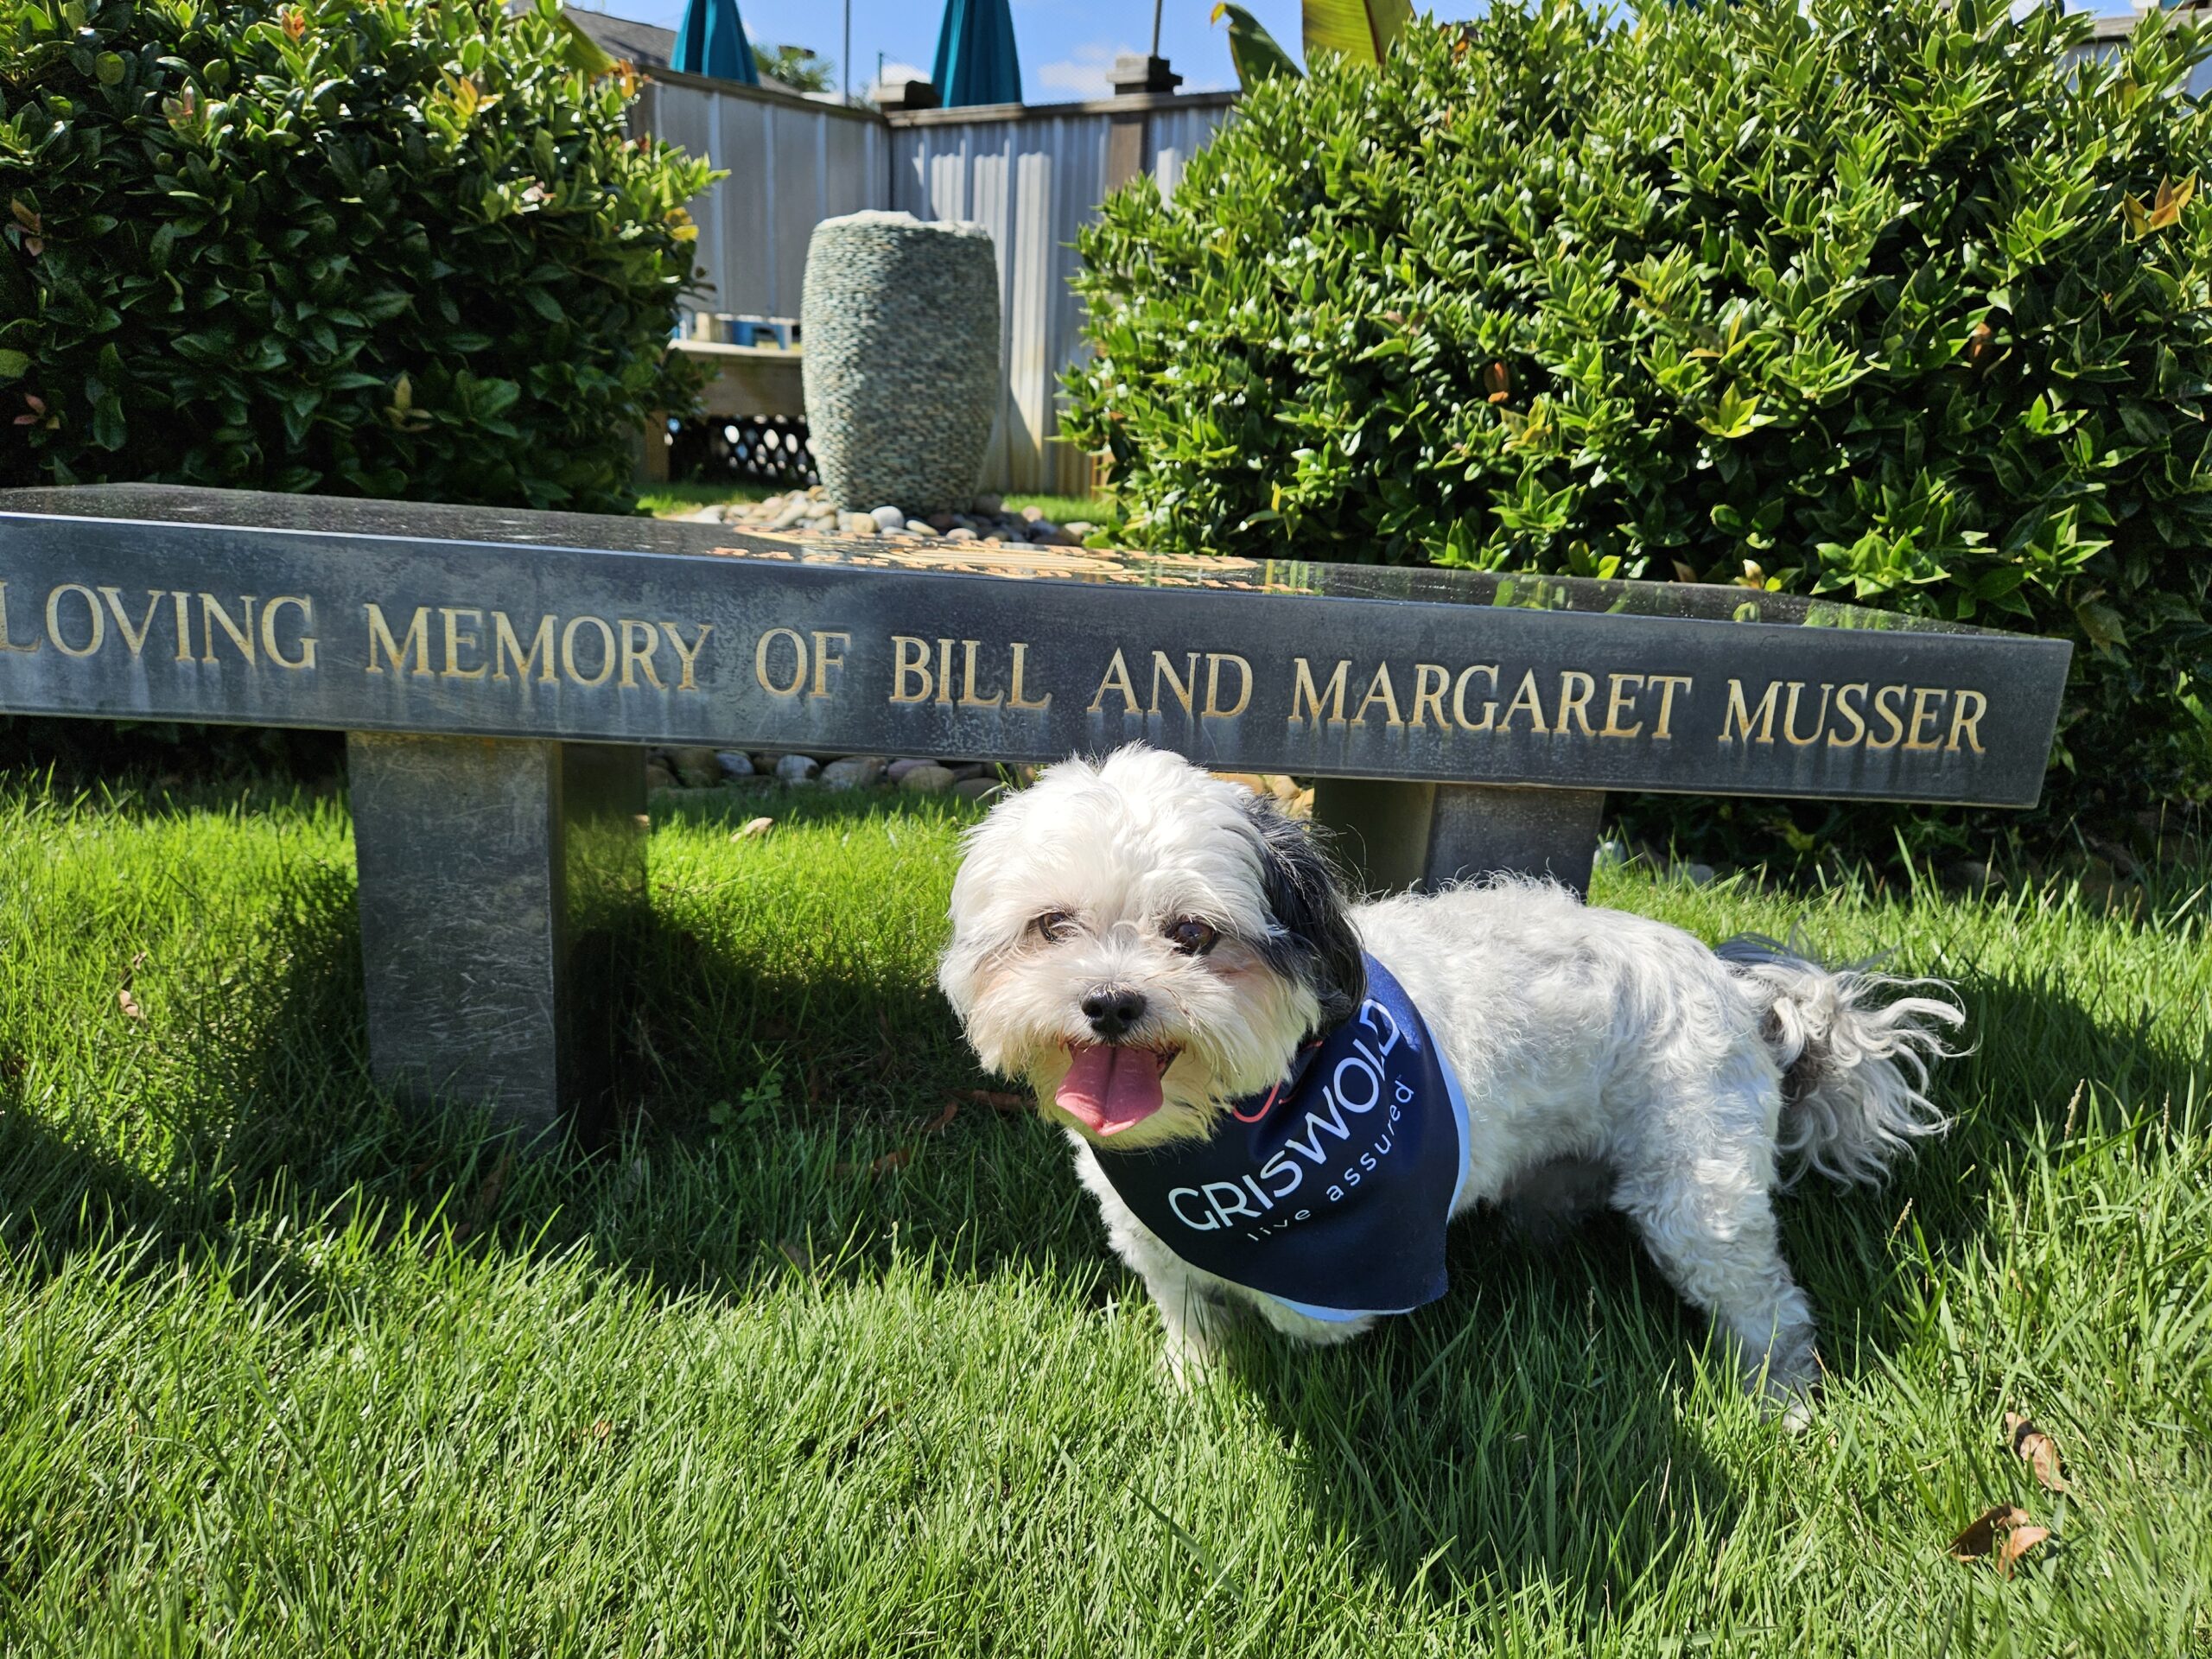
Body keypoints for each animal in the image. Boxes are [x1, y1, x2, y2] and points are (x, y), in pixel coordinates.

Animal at [942, 752, 1964, 1415]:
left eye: (1192, 933)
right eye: (1051, 926)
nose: (1110, 1001)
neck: (1226, 1130)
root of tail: (1735, 983)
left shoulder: (1349, 1261)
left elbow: (1300, 1308)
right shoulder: (1149, 1237)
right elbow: (1193, 1318)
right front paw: (1197, 1393)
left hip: (1699, 1199)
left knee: (1764, 1299)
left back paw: (1780, 1397)